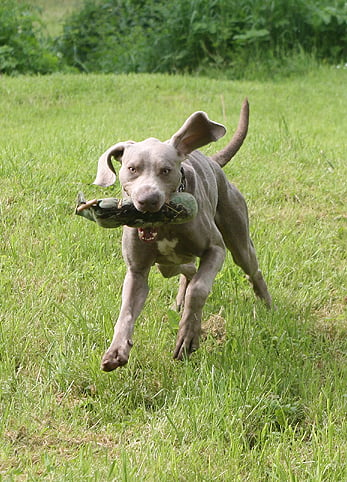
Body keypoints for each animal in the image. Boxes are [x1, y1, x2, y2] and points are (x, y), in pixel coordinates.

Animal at [94, 97, 272, 370]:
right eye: (132, 169)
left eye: (166, 170)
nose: (148, 199)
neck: (164, 223)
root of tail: (212, 161)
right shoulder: (137, 271)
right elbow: (127, 311)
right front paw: (116, 351)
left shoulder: (215, 249)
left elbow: (198, 289)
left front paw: (188, 336)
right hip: (167, 264)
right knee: (185, 269)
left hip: (239, 238)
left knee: (251, 270)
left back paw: (268, 305)